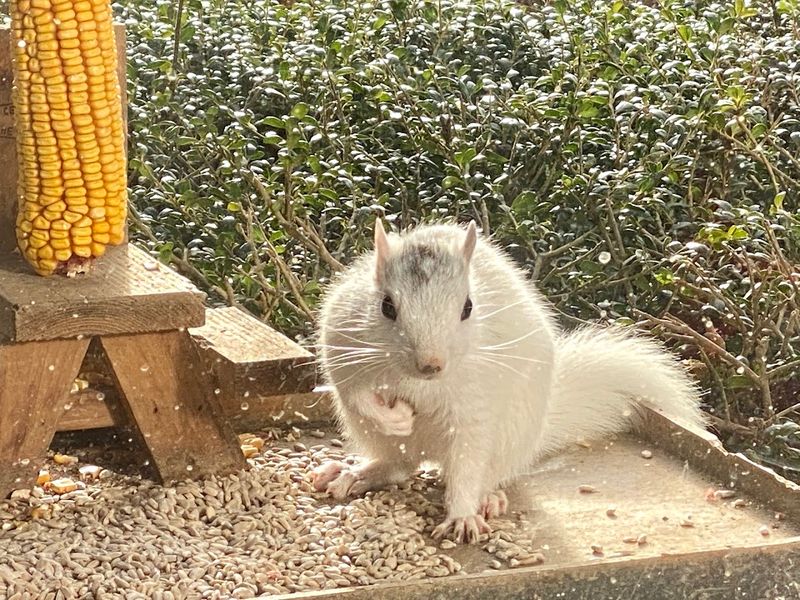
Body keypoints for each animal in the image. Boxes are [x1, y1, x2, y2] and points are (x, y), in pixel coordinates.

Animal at [312, 220, 705, 543]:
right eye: (387, 306)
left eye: (468, 307)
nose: (431, 365)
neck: (419, 384)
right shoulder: (345, 353)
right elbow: (358, 396)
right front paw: (398, 418)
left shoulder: (475, 407)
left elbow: (468, 459)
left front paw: (462, 516)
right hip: (373, 435)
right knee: (397, 464)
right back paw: (354, 473)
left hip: (512, 436)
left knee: (477, 471)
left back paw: (486, 498)